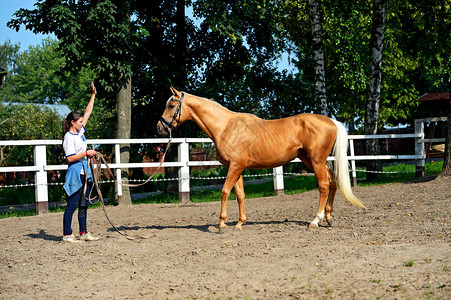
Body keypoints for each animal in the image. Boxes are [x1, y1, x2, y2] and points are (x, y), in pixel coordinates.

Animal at [157, 86, 366, 232]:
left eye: (172, 105)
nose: (160, 128)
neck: (225, 127)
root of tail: (331, 121)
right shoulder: (237, 168)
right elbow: (239, 194)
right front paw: (240, 223)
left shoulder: (235, 166)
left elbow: (224, 191)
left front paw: (222, 225)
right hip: (309, 160)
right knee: (332, 180)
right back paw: (328, 218)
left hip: (316, 161)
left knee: (323, 185)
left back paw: (315, 220)